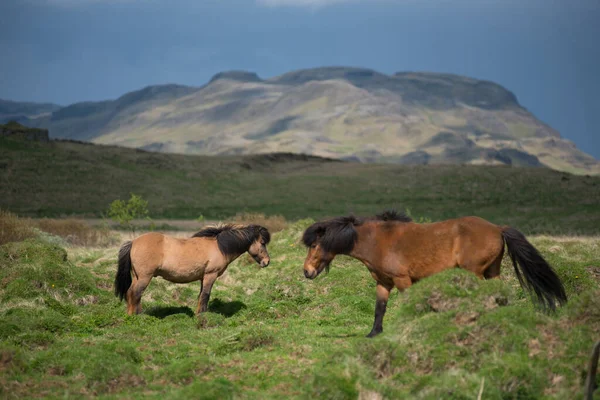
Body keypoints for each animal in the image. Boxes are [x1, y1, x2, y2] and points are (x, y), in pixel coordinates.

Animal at [113, 225, 272, 316]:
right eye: (263, 243)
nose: (267, 262)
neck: (219, 247)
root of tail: (133, 242)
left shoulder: (203, 277)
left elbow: (201, 295)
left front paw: (199, 313)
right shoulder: (210, 276)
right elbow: (205, 295)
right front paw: (202, 317)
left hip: (138, 276)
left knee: (131, 293)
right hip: (145, 277)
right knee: (136, 293)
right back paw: (136, 317)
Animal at [302, 209, 564, 338]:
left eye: (314, 245)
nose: (307, 272)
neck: (377, 240)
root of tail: (498, 228)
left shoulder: (403, 280)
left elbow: (413, 305)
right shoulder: (383, 283)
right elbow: (379, 309)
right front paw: (374, 333)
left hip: (475, 273)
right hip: (492, 272)